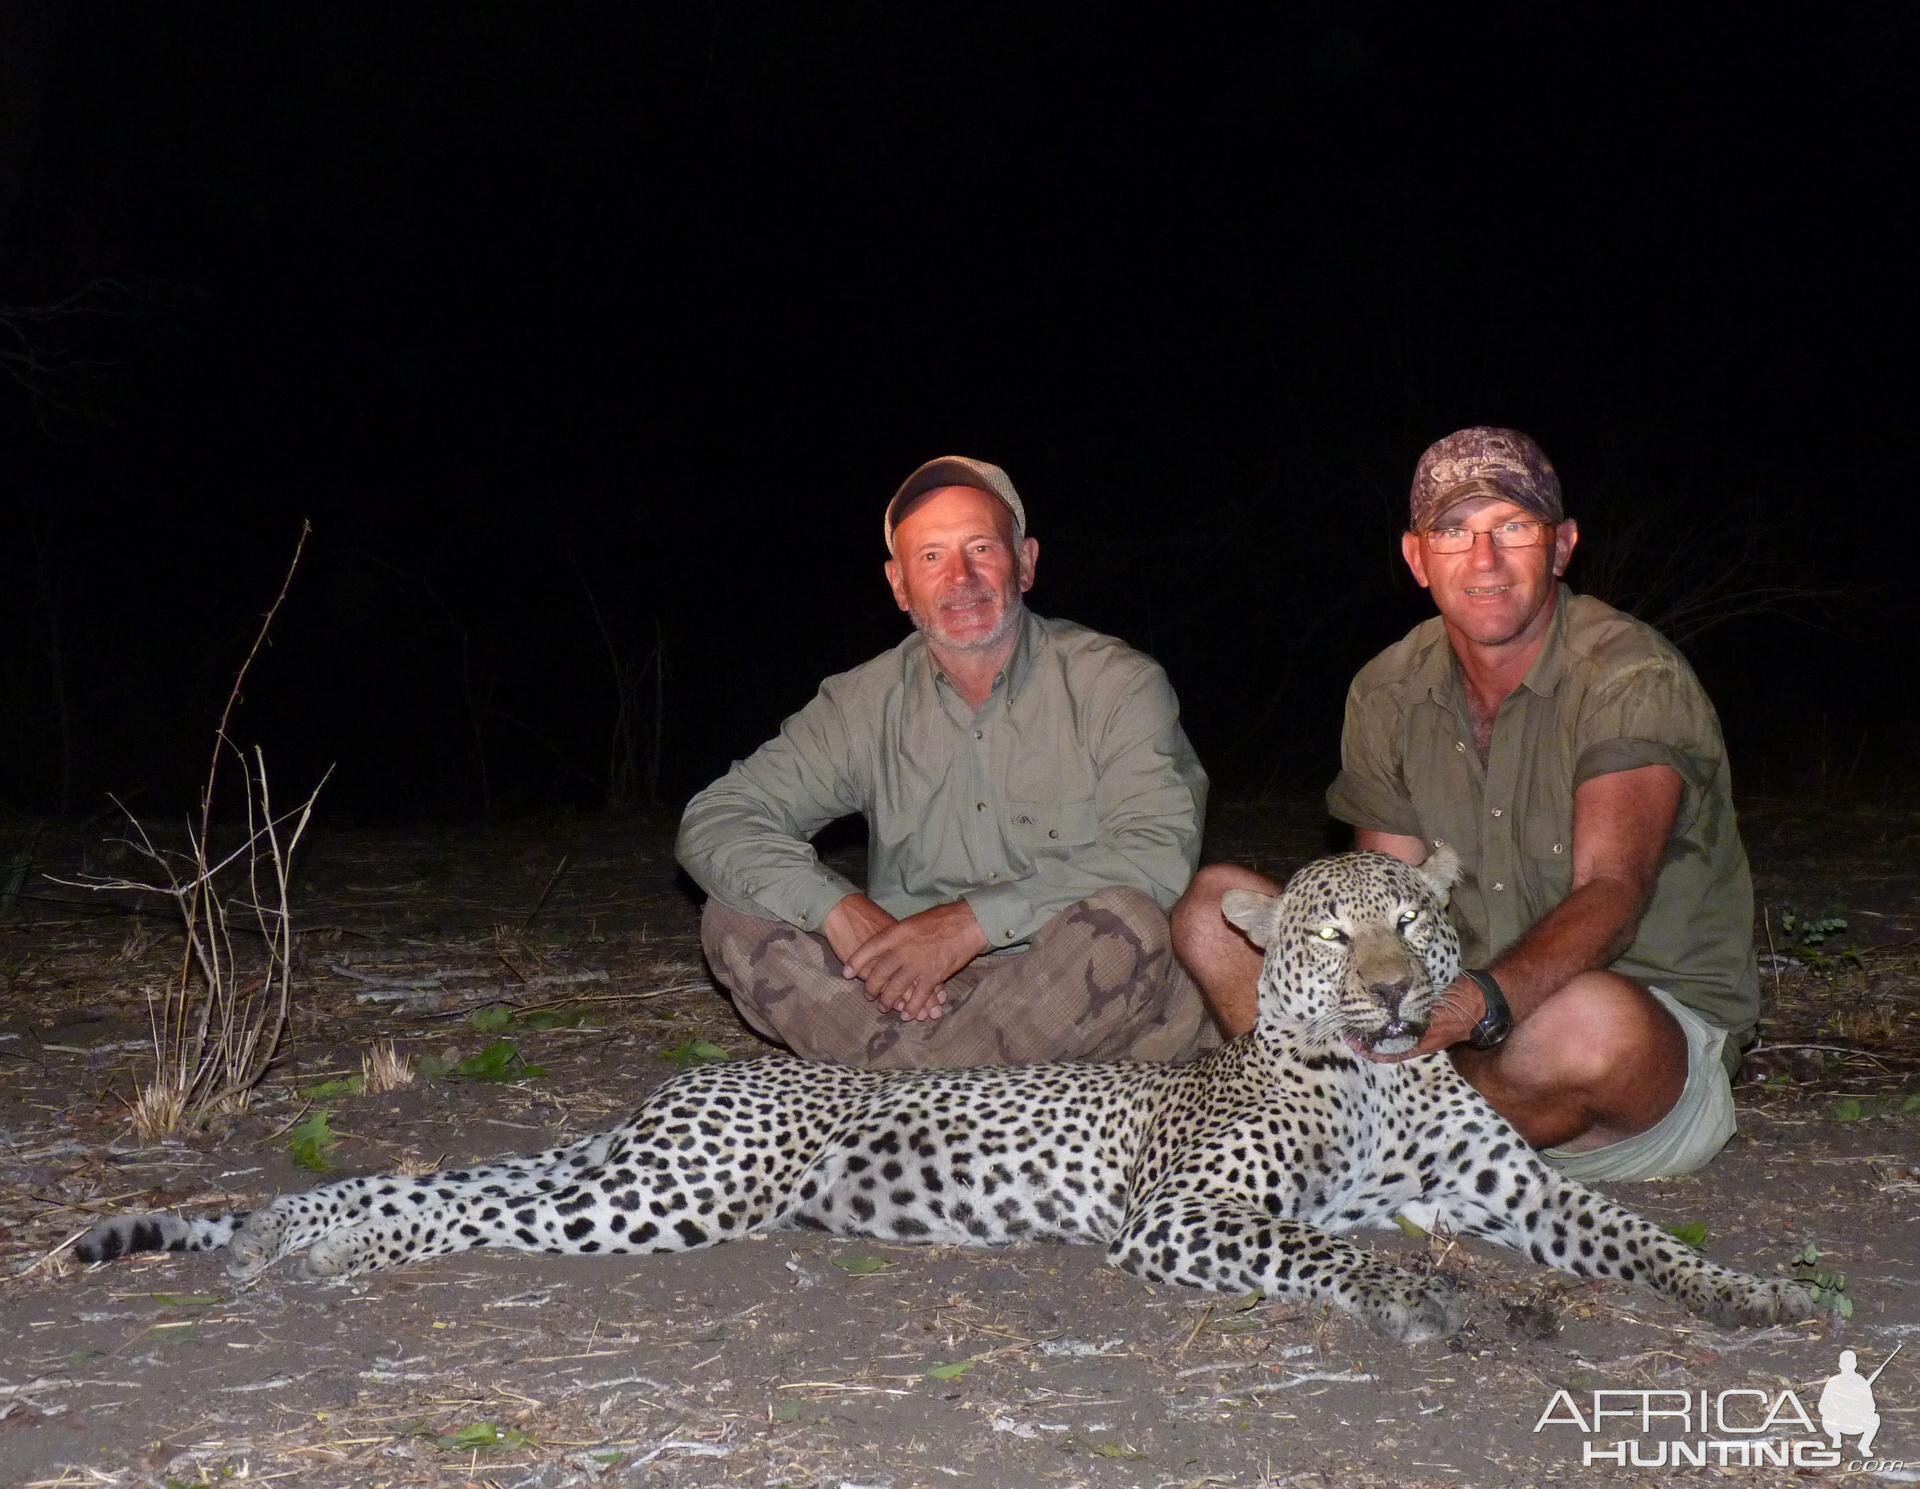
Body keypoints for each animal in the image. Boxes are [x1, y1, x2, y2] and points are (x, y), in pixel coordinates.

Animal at [78, 844, 1812, 1343]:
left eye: (1419, 925)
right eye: (1333, 935)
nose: (1397, 992)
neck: (1373, 1087)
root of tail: (693, 1074)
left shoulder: (1519, 1190)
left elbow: (1636, 1241)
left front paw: (1769, 1299)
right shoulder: (1186, 1213)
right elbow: (1329, 1244)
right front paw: (1441, 1301)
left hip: (656, 1185)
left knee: (454, 1191)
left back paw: (283, 1238)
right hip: (674, 1193)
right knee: (458, 1210)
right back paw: (313, 1250)